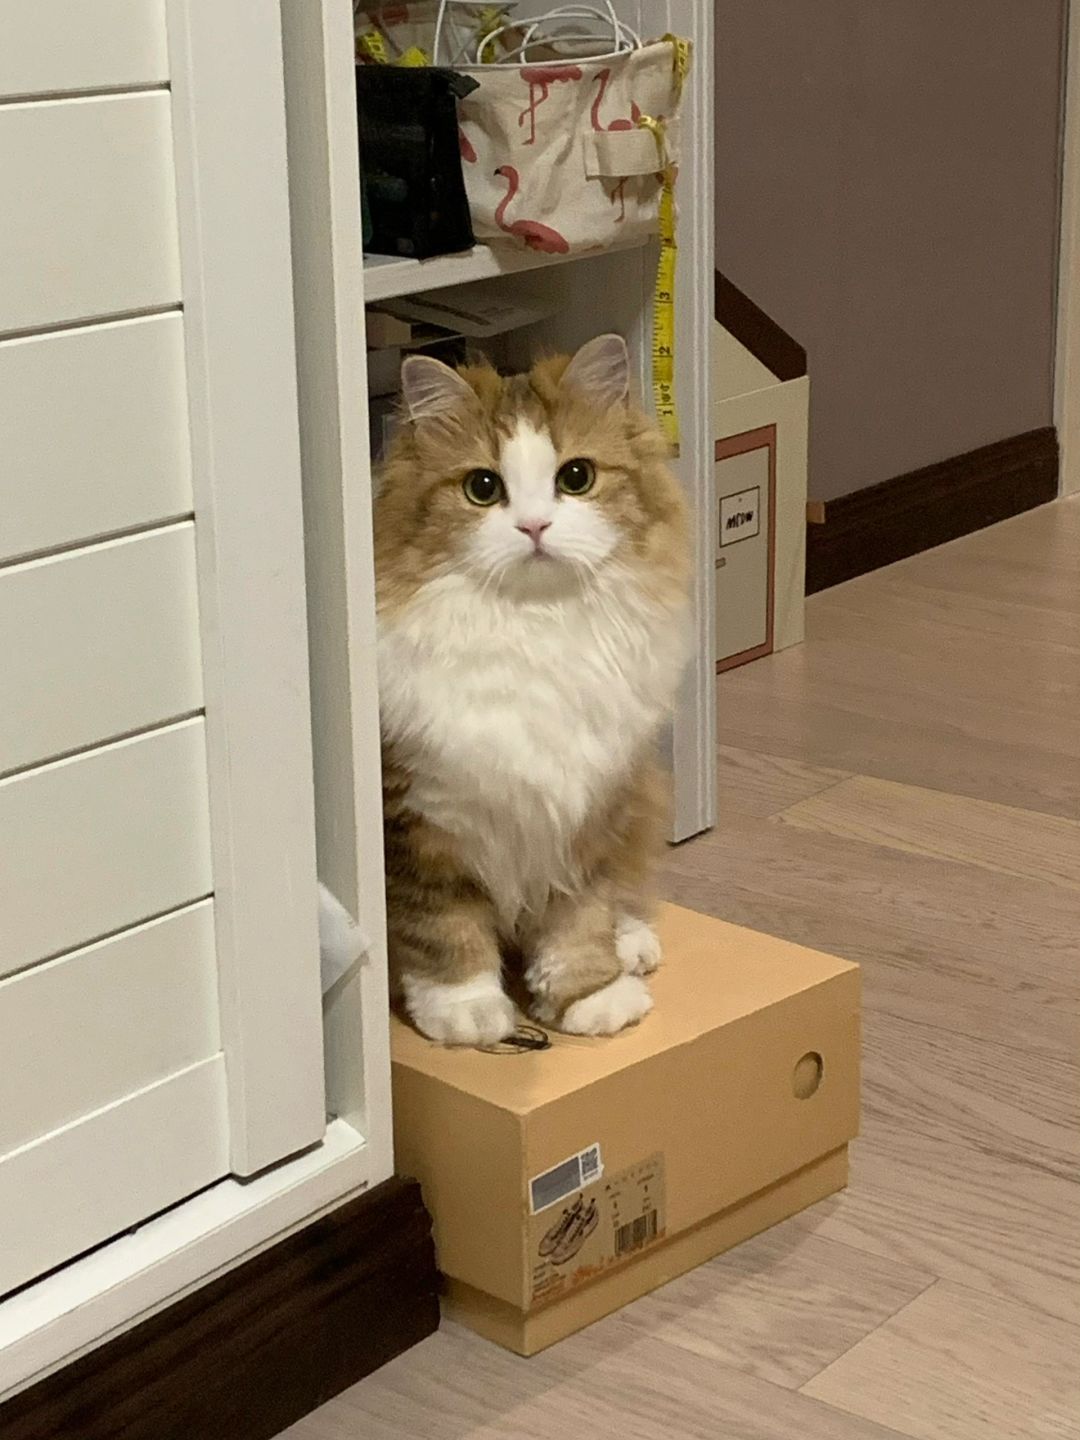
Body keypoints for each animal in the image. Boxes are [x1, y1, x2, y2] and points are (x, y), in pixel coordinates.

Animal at [374, 333, 690, 1045]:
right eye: (482, 487)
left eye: (576, 478)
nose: (536, 528)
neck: (534, 627)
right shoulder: (415, 818)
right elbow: (441, 926)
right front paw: (465, 1012)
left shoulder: (589, 804)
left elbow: (581, 917)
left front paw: (592, 996)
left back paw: (633, 946)